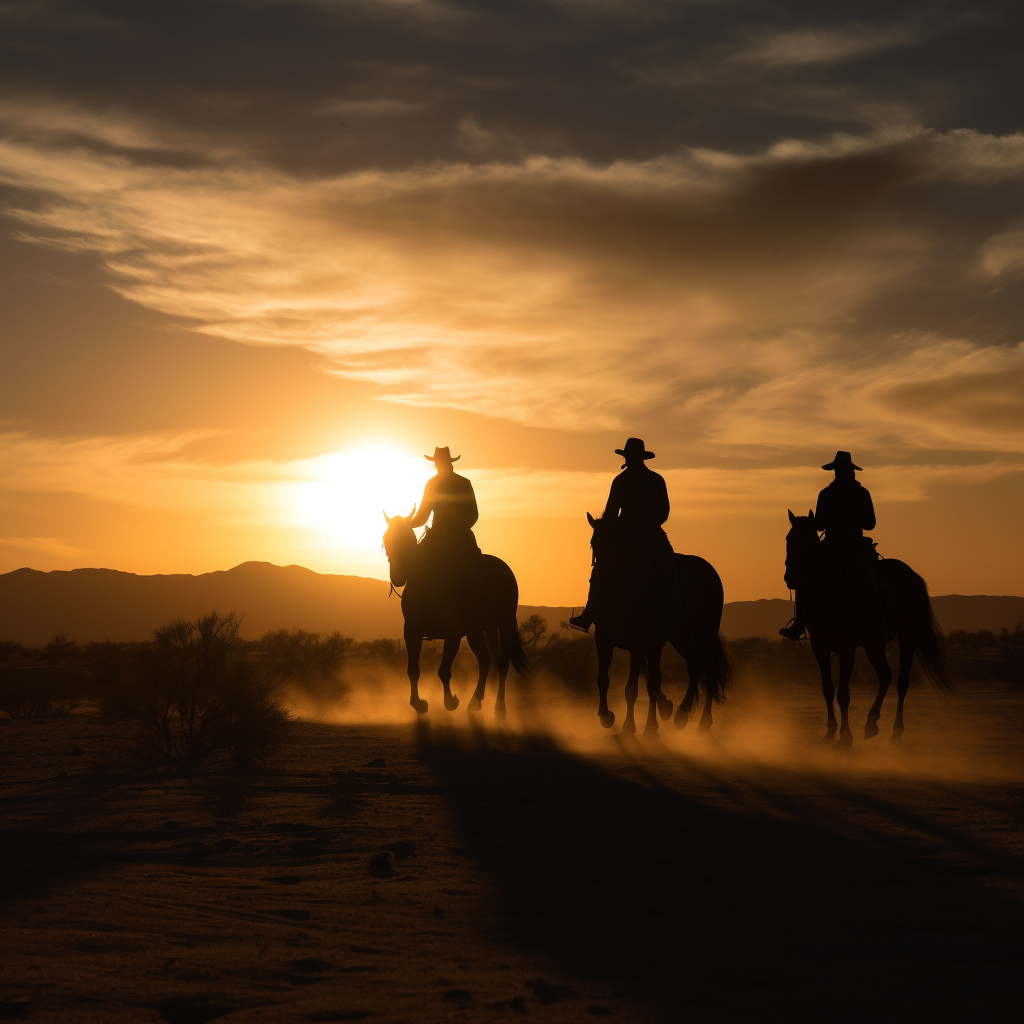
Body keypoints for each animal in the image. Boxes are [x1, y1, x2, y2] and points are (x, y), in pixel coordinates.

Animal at [380, 512, 532, 720]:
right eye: (385, 539)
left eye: (407, 539)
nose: (397, 577)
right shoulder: (411, 632)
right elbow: (413, 670)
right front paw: (419, 704)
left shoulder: (453, 635)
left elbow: (444, 671)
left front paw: (451, 701)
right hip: (478, 631)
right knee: (485, 660)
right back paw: (475, 702)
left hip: (505, 623)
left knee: (501, 663)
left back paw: (499, 708)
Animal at [585, 516, 729, 733]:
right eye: (594, 543)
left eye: (618, 544)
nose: (602, 581)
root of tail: (708, 569)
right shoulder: (603, 640)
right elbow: (603, 680)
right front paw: (606, 716)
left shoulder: (639, 645)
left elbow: (634, 687)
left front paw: (634, 725)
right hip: (680, 637)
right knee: (694, 663)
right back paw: (682, 713)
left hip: (707, 633)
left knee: (709, 669)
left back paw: (703, 721)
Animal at [786, 509, 954, 745]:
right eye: (788, 539)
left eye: (807, 541)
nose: (790, 578)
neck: (830, 590)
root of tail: (911, 574)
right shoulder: (820, 646)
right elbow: (828, 690)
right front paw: (830, 731)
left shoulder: (847, 647)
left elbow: (843, 694)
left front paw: (846, 735)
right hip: (874, 644)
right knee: (885, 676)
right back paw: (871, 722)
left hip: (908, 635)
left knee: (901, 681)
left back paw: (896, 731)